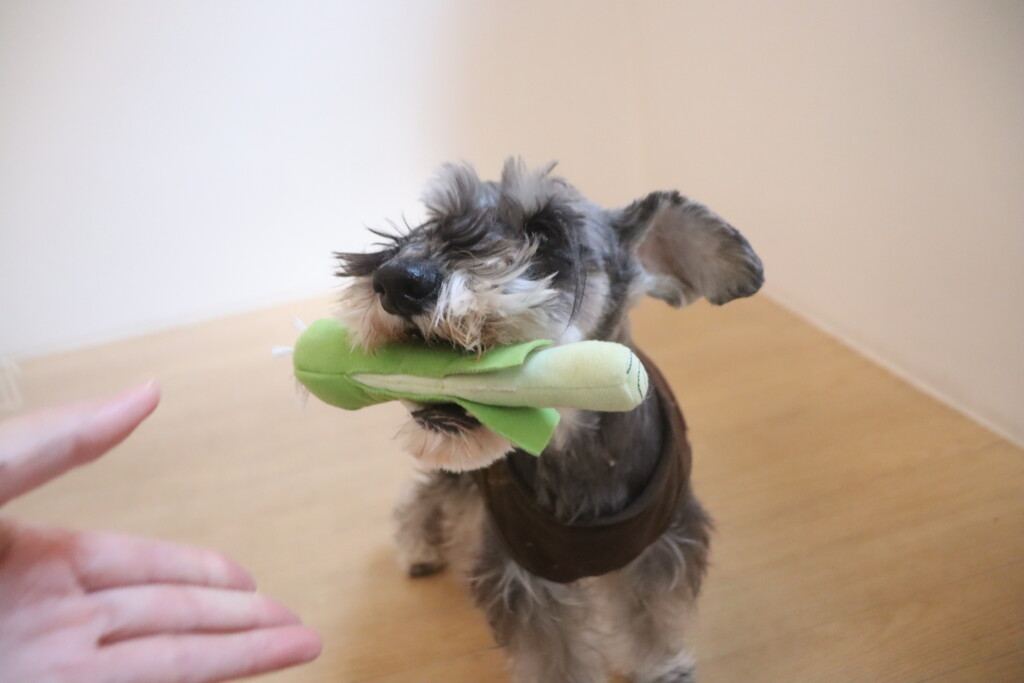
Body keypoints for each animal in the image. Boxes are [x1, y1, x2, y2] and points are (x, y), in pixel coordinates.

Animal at [334, 159, 763, 682]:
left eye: (546, 231)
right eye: (435, 219)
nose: (397, 279)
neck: (576, 445)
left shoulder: (660, 544)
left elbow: (651, 615)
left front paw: (661, 666)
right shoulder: (524, 570)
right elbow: (554, 651)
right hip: (462, 475)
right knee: (426, 493)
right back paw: (418, 550)